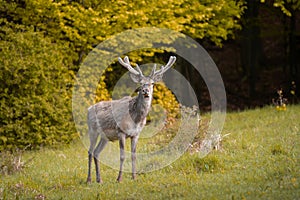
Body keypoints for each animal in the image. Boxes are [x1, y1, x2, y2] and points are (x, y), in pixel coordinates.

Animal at [86, 55, 176, 183]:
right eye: (140, 83)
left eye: (152, 83)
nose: (145, 91)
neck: (136, 119)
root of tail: (88, 109)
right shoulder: (121, 131)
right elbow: (122, 156)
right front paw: (119, 178)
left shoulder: (136, 134)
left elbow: (134, 155)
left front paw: (134, 177)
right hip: (92, 130)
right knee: (90, 151)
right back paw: (89, 179)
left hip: (105, 137)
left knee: (96, 152)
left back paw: (99, 180)